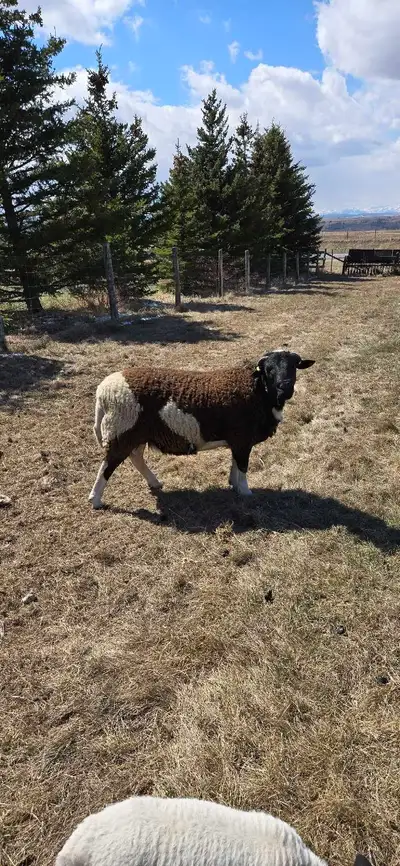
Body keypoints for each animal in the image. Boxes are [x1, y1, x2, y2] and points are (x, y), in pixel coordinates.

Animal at [88, 349, 315, 509]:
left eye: (294, 367)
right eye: (269, 369)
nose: (285, 388)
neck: (259, 391)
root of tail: (102, 392)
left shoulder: (238, 439)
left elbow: (235, 462)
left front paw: (233, 484)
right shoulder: (243, 437)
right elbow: (243, 466)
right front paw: (245, 492)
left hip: (134, 433)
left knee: (136, 458)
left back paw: (155, 483)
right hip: (121, 429)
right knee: (107, 465)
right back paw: (95, 500)